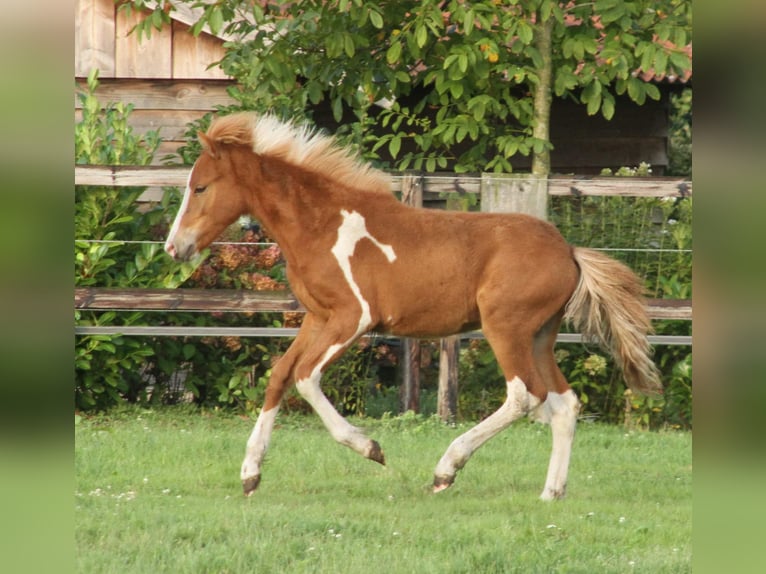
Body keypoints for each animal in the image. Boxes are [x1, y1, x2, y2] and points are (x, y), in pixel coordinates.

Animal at [165, 112, 662, 500]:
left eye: (201, 187)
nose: (174, 247)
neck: (322, 224)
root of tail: (569, 252)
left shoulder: (353, 319)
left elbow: (305, 378)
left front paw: (370, 448)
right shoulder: (318, 318)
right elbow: (280, 375)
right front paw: (250, 474)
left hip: (506, 327)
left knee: (525, 395)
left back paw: (446, 469)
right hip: (541, 335)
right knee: (564, 404)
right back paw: (550, 492)